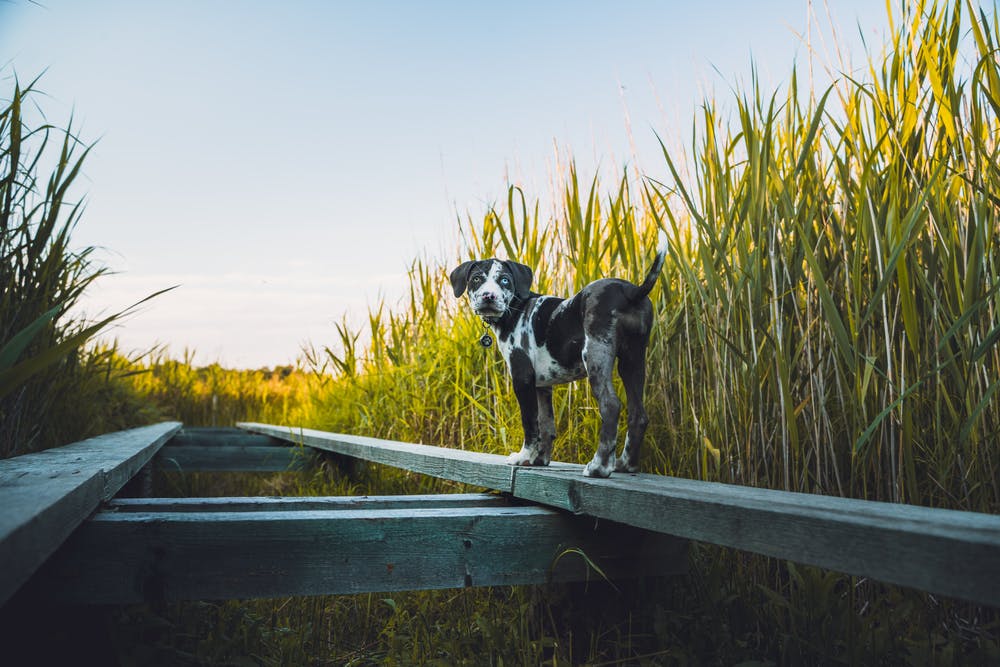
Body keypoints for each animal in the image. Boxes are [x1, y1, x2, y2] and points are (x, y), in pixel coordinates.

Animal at [450, 232, 668, 478]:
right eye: (476, 279)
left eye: (504, 280)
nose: (489, 296)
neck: (516, 308)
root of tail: (629, 291)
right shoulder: (542, 386)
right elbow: (546, 425)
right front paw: (539, 459)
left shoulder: (522, 378)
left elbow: (530, 423)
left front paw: (524, 456)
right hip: (633, 360)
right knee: (638, 415)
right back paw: (625, 464)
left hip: (596, 355)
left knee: (611, 405)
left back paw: (599, 467)